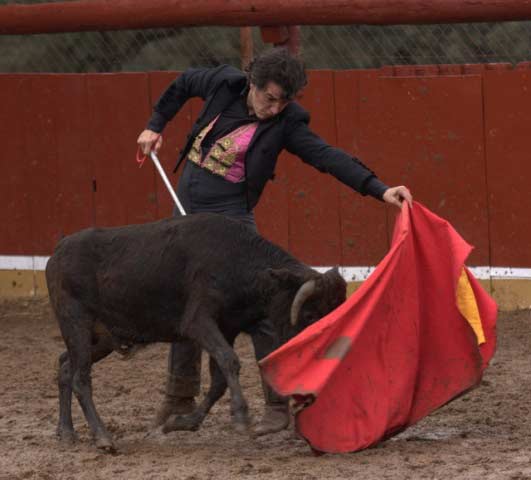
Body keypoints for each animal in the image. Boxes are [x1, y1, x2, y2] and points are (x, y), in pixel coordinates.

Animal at [44, 212, 344, 452]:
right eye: (309, 315)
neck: (237, 261)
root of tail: (58, 250)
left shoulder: (227, 327)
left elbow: (219, 379)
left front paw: (179, 423)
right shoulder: (198, 321)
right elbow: (229, 360)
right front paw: (241, 417)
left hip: (101, 339)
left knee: (66, 366)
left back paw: (66, 432)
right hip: (76, 322)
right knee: (81, 378)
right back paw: (102, 437)